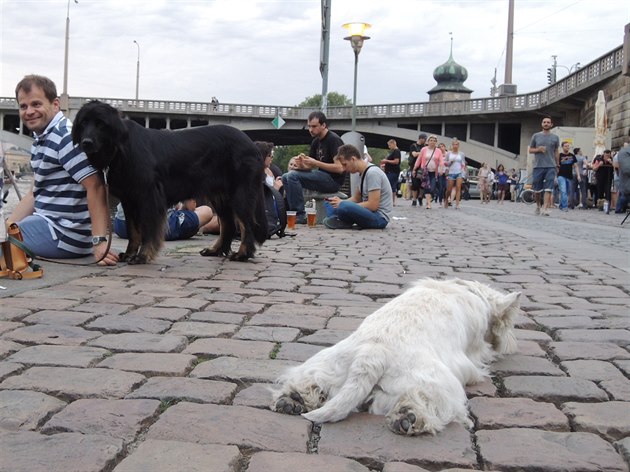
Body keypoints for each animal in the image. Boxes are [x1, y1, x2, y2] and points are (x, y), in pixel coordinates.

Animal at [73, 100, 268, 264]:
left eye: (101, 124)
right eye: (83, 123)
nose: (86, 142)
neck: (120, 149)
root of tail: (252, 144)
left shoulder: (149, 196)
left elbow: (148, 229)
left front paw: (143, 255)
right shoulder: (129, 199)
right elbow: (133, 231)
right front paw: (129, 254)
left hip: (241, 193)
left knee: (246, 224)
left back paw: (242, 254)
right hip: (219, 195)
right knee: (228, 224)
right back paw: (215, 250)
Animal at [270, 276, 520, 436]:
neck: (471, 291)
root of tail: (373, 354)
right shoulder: (473, 355)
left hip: (327, 366)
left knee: (311, 383)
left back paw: (293, 399)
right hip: (439, 384)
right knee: (427, 402)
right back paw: (409, 417)